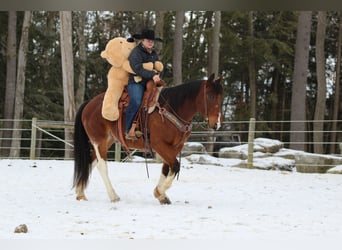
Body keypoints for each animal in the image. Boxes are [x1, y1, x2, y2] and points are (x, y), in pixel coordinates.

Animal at [73, 73, 223, 205]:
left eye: (221, 97)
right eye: (210, 95)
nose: (217, 124)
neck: (172, 108)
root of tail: (89, 103)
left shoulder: (175, 146)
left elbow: (167, 167)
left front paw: (162, 195)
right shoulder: (159, 144)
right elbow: (175, 165)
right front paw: (159, 192)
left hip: (107, 140)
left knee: (91, 161)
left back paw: (80, 193)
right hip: (99, 140)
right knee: (102, 165)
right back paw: (113, 196)